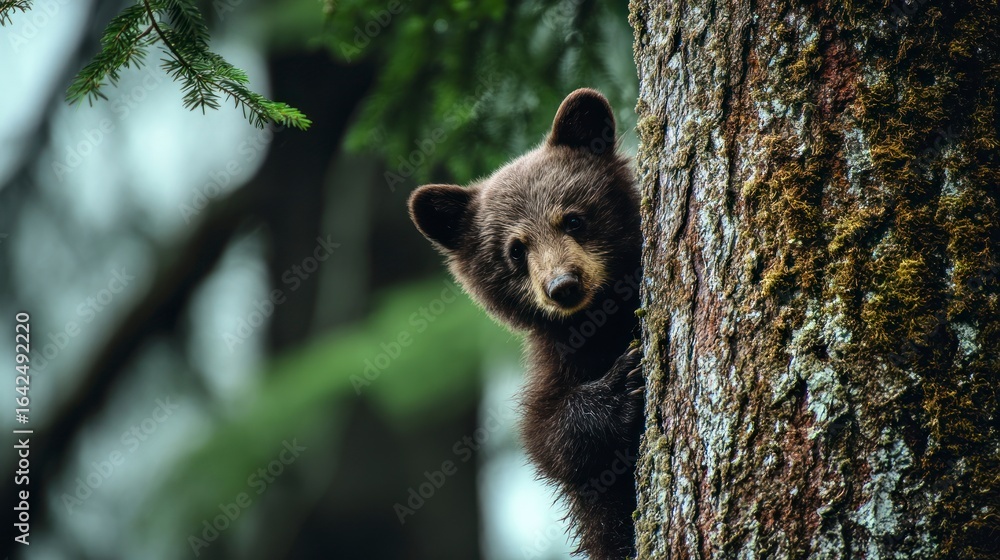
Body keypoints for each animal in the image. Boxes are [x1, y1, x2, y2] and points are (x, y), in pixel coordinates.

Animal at [408, 88, 643, 559]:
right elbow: (546, 436)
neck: (602, 320)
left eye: (573, 218)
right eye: (516, 249)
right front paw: (617, 388)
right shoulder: (558, 357)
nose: (563, 285)